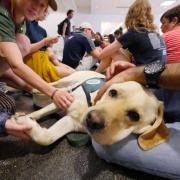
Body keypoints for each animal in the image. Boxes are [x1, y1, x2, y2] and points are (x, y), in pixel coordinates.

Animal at [14, 71, 168, 150]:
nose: (92, 119)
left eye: (135, 116)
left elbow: (46, 138)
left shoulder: (71, 121)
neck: (90, 104)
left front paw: (27, 122)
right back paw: (34, 89)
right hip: (69, 79)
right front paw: (25, 118)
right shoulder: (65, 101)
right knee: (55, 84)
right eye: (112, 92)